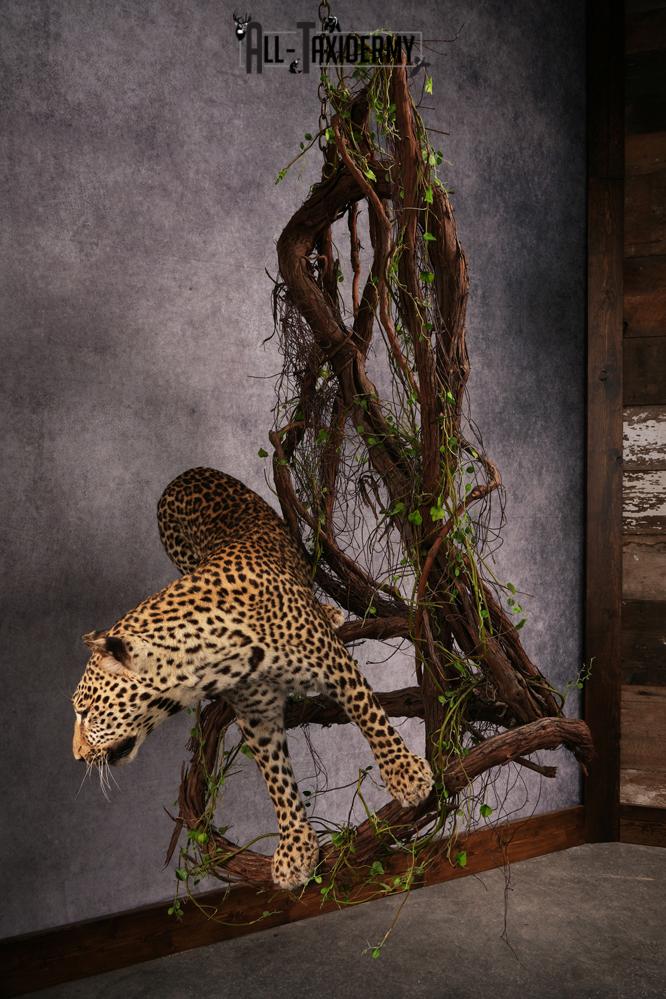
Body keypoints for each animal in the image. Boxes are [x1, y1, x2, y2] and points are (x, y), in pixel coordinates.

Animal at [71, 466, 433, 890]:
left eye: (86, 710)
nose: (77, 756)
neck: (207, 657)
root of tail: (186, 474)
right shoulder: (255, 713)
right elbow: (275, 776)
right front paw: (294, 847)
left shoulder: (332, 662)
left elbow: (369, 716)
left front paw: (404, 774)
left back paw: (327, 611)